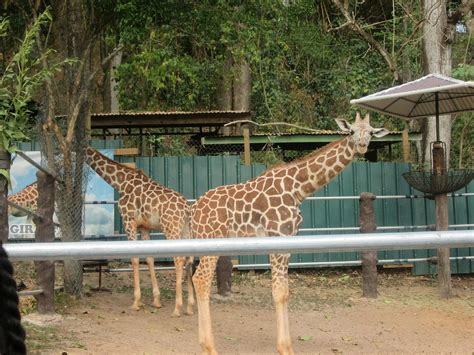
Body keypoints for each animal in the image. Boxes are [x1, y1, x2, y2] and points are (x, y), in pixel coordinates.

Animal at [85, 147, 194, 318]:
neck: (121, 182)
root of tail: (186, 208)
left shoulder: (129, 221)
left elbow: (135, 258)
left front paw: (136, 302)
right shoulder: (144, 227)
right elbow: (149, 258)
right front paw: (156, 301)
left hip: (171, 228)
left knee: (179, 259)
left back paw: (177, 308)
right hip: (185, 230)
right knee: (189, 258)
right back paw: (189, 307)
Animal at [191, 113, 390, 355]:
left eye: (370, 132)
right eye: (351, 131)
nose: (362, 146)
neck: (298, 189)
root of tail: (194, 210)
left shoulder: (287, 240)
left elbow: (285, 292)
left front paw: (289, 346)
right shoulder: (278, 236)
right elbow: (278, 292)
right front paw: (284, 347)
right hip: (211, 238)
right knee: (201, 279)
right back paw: (209, 347)